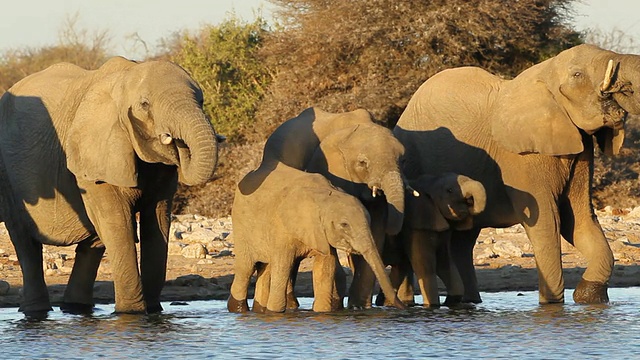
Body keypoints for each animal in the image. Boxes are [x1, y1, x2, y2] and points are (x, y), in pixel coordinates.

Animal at [0, 55, 220, 316]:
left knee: (93, 241)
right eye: (144, 105)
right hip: (7, 176)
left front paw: (154, 313)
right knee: (25, 241)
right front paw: (132, 314)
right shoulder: (93, 156)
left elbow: (156, 219)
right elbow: (117, 220)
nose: (176, 140)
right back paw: (36, 311)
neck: (124, 81)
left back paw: (76, 308)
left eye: (202, 100)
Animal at [228, 162, 402, 312]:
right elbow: (283, 267)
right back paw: (238, 309)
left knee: (265, 268)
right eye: (344, 225)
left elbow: (325, 268)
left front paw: (322, 312)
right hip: (242, 228)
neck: (325, 197)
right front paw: (275, 313)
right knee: (246, 269)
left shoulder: (321, 234)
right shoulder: (282, 228)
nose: (402, 307)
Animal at [245, 106, 404, 310]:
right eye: (363, 163)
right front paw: (337, 305)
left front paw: (358, 307)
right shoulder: (329, 170)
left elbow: (375, 232)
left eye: (402, 159)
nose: (399, 305)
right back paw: (292, 305)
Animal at [378, 173, 488, 308]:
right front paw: (432, 306)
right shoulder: (418, 225)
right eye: (449, 190)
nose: (470, 201)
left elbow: (445, 264)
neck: (427, 184)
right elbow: (425, 266)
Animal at [392, 43, 640, 306]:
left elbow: (579, 219)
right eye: (577, 75)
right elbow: (548, 222)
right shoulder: (521, 157)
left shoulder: (580, 147)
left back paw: (468, 302)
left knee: (463, 241)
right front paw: (551, 305)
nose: (622, 90)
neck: (544, 72)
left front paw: (587, 298)